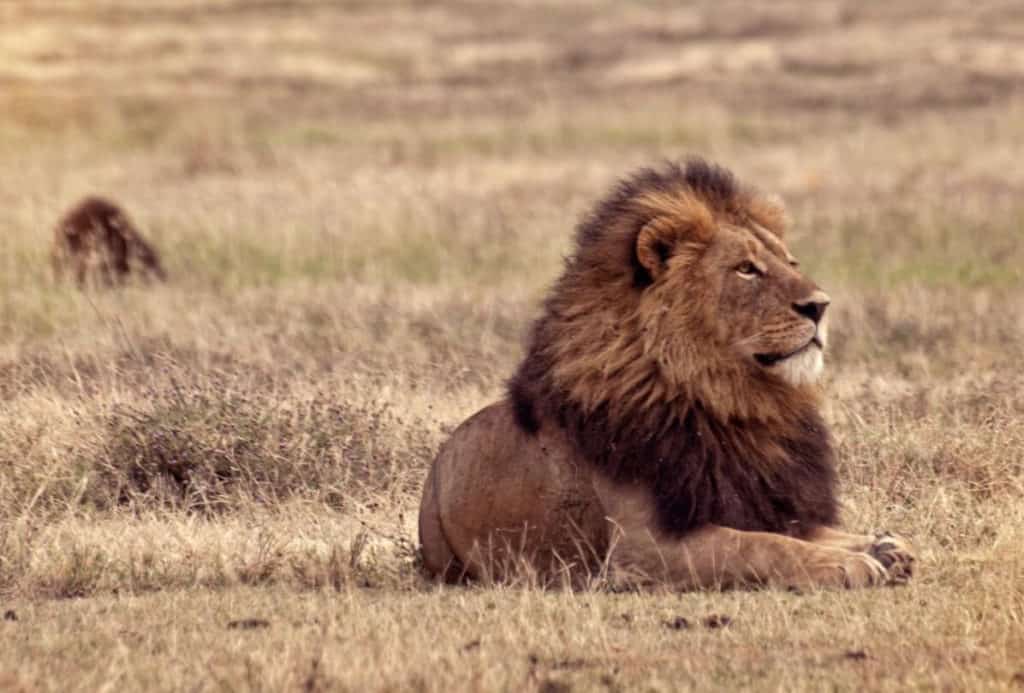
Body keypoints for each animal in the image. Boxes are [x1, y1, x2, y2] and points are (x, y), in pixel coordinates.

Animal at [419, 159, 915, 590]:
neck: (726, 403)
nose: (820, 305)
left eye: (789, 264)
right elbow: (762, 546)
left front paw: (881, 545)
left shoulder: (755, 498)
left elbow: (803, 531)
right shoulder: (642, 550)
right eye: (746, 269)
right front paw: (848, 563)